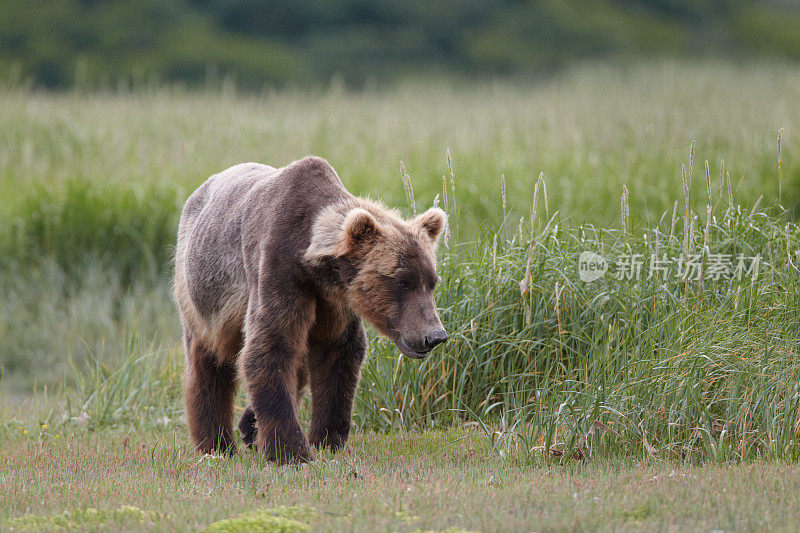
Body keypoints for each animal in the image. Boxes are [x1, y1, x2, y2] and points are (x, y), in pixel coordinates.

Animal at [174, 155, 446, 462]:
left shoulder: (335, 300)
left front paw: (327, 441)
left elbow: (338, 355)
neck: (313, 265)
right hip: (201, 292)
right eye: (401, 281)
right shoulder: (279, 269)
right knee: (207, 363)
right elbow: (271, 346)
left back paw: (249, 426)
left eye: (431, 281)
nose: (434, 335)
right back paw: (216, 445)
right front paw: (291, 452)